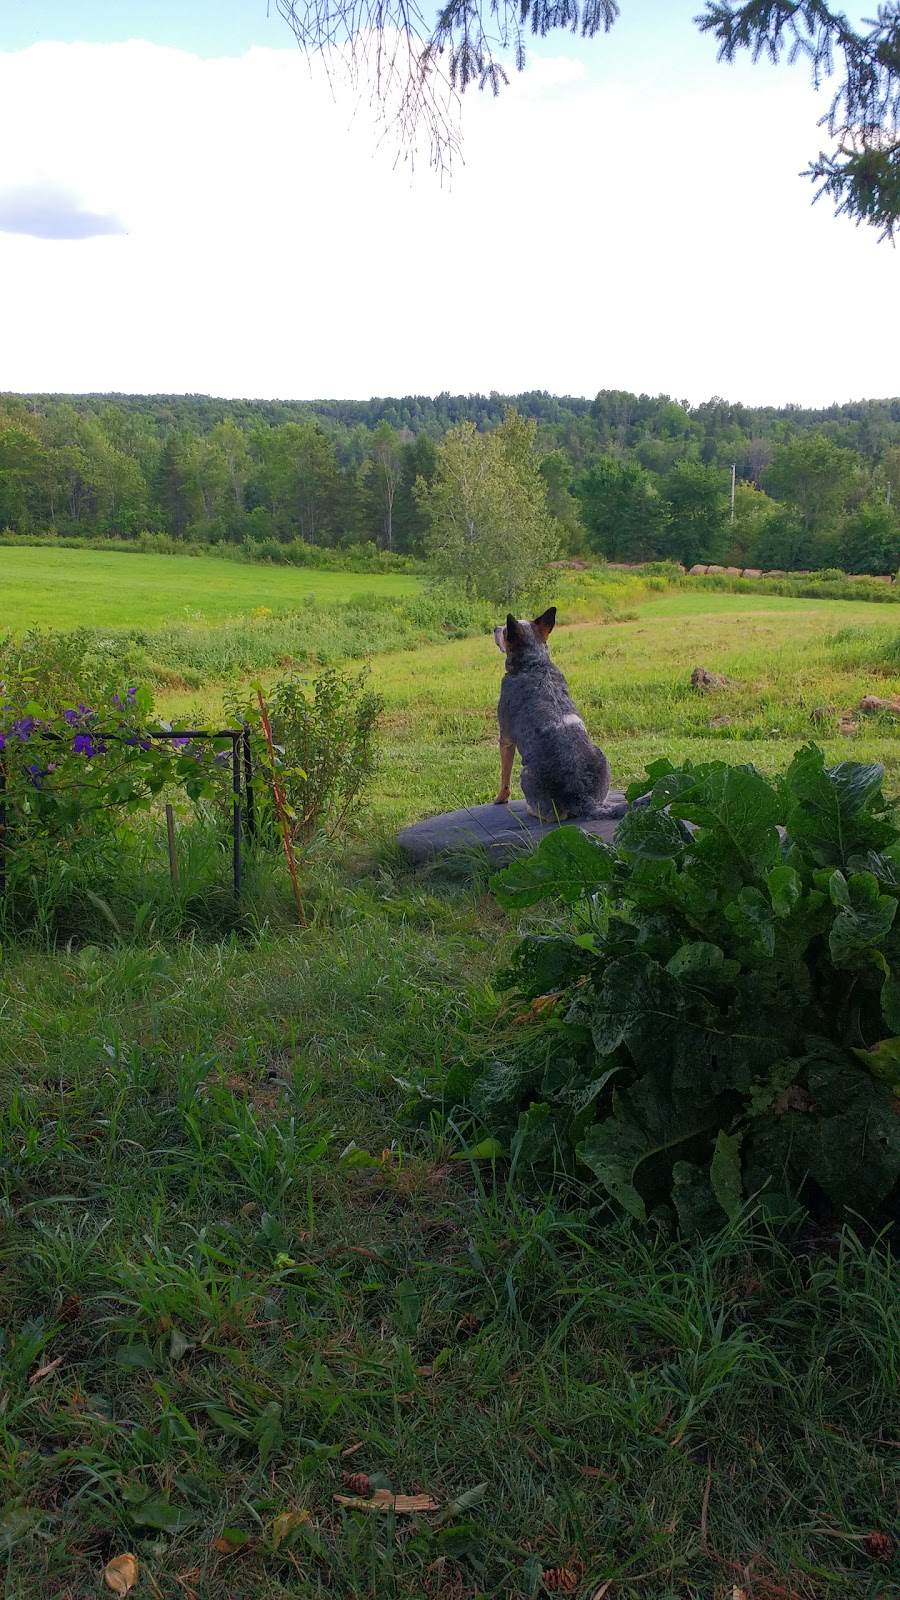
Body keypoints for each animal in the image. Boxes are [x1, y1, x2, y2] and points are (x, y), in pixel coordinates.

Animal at [490, 604, 608, 819]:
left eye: (505, 632)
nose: (495, 628)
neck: (535, 663)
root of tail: (581, 796)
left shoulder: (506, 737)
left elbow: (505, 776)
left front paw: (500, 798)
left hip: (526, 774)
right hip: (603, 759)